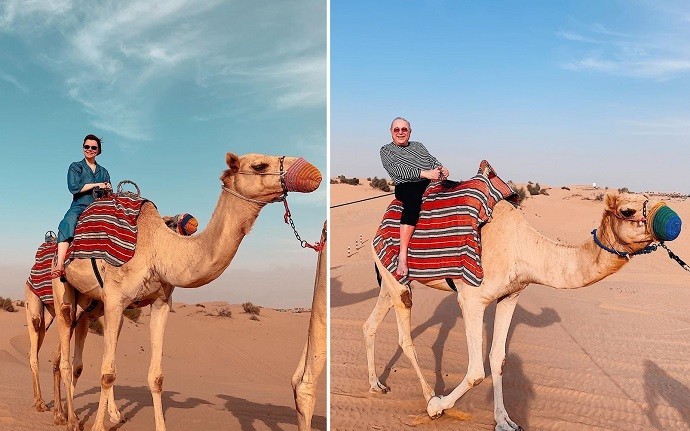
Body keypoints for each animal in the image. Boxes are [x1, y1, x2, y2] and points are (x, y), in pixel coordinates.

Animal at [25, 215, 198, 426]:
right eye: (170, 224)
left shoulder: (96, 314)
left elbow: (98, 360)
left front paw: (114, 413)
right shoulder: (89, 312)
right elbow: (81, 364)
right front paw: (72, 416)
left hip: (54, 313)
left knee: (52, 353)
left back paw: (55, 410)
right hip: (35, 302)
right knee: (36, 346)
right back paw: (42, 404)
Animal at [52, 154, 322, 431]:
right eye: (259, 166)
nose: (312, 172)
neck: (158, 248)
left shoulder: (159, 302)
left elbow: (155, 377)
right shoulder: (116, 300)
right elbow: (107, 373)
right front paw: (97, 426)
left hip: (94, 302)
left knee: (82, 337)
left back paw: (109, 414)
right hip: (64, 288)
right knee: (65, 352)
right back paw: (68, 418)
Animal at [366, 193, 672, 431]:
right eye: (628, 210)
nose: (671, 221)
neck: (524, 249)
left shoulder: (509, 296)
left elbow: (498, 359)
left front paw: (505, 421)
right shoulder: (472, 299)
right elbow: (476, 371)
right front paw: (437, 406)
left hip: (389, 279)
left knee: (370, 324)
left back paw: (376, 385)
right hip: (398, 280)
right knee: (405, 338)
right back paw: (430, 398)